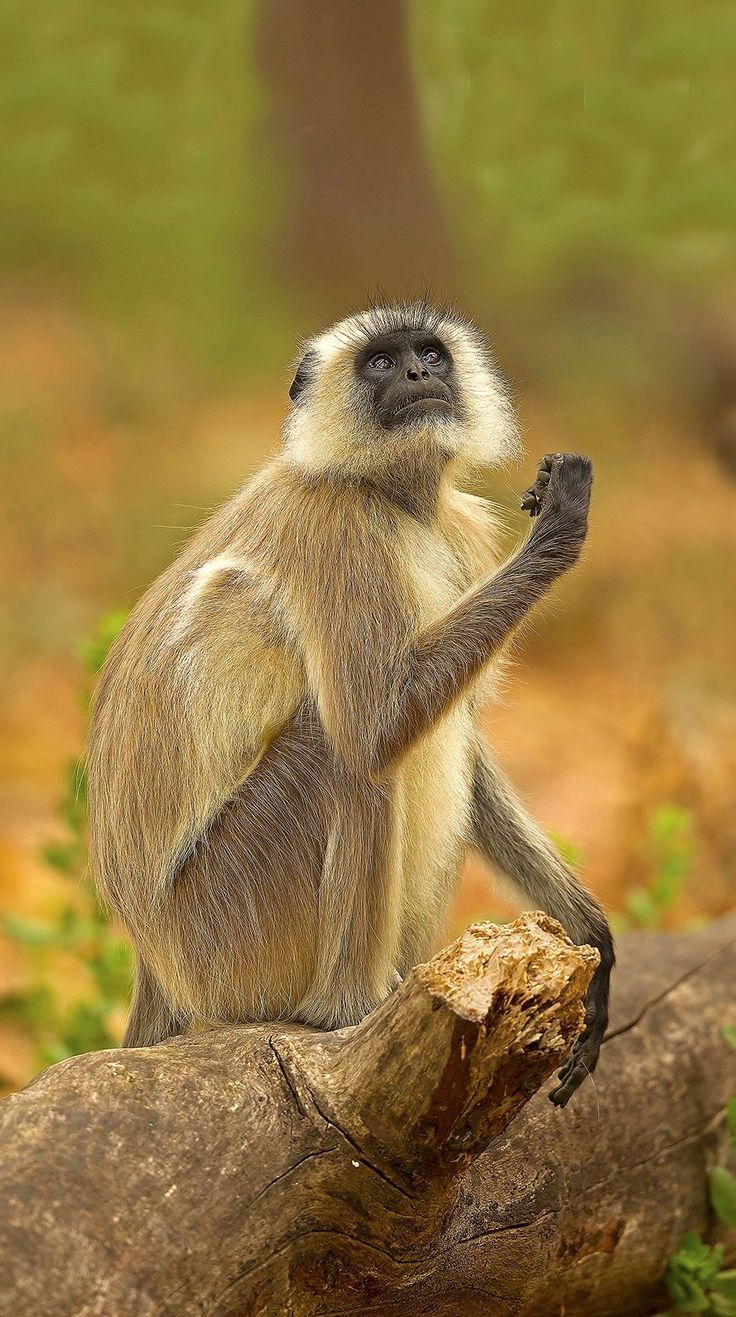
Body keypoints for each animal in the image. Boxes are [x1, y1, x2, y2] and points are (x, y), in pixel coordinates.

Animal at [87, 301, 616, 1111]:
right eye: (381, 362)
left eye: (429, 352)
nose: (420, 373)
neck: (393, 498)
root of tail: (152, 954)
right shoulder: (337, 528)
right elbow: (373, 732)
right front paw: (558, 527)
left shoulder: (460, 528)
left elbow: (456, 734)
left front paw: (593, 937)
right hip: (223, 932)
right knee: (345, 758)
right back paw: (345, 1012)